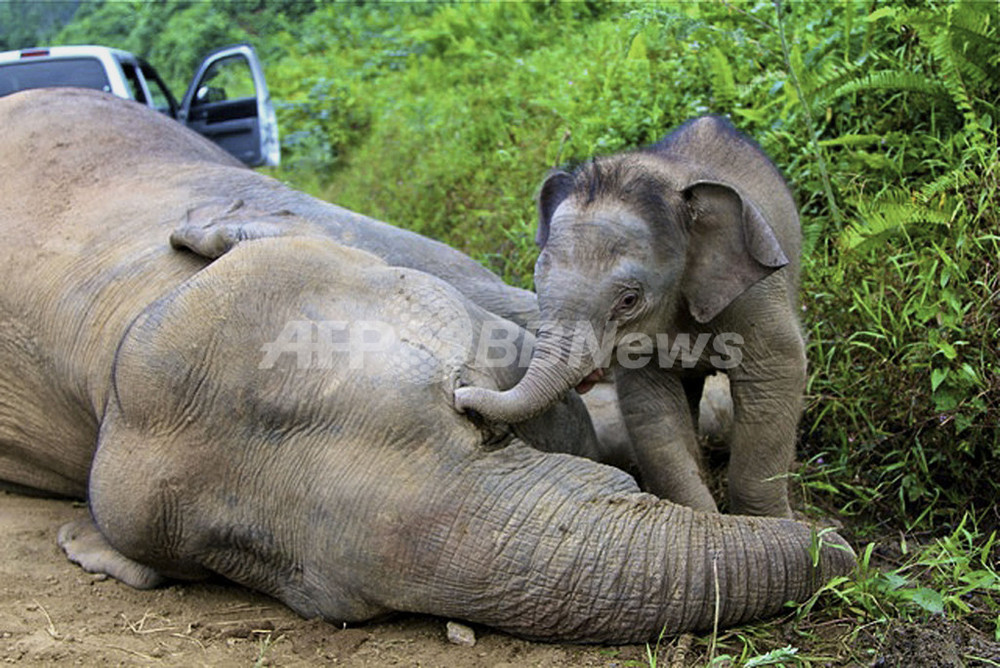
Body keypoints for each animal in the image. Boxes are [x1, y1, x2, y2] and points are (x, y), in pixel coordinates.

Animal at [458, 116, 804, 516]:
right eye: (536, 282)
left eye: (628, 300)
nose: (460, 397)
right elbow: (651, 409)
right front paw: (701, 516)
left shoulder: (754, 294)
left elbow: (775, 376)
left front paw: (775, 522)